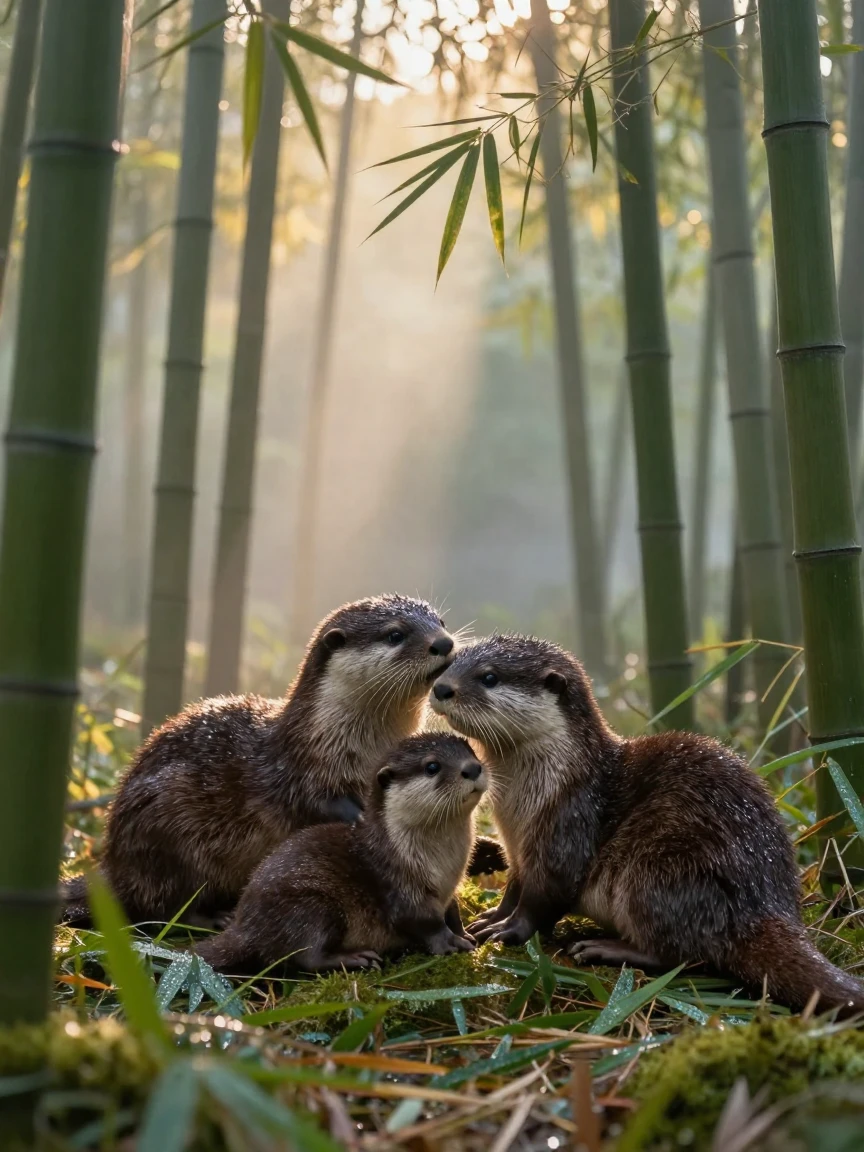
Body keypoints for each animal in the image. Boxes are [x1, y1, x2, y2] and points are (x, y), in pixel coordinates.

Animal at [61, 595, 455, 926]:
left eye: (440, 621)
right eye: (395, 634)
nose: (444, 643)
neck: (365, 749)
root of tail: (112, 860)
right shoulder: (297, 767)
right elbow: (309, 802)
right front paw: (357, 817)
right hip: (162, 823)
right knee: (158, 906)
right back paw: (210, 918)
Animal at [196, 734, 485, 973]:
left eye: (470, 749)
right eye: (432, 766)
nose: (473, 768)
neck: (443, 866)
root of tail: (244, 926)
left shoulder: (451, 888)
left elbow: (452, 911)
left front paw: (465, 933)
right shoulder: (397, 882)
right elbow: (422, 921)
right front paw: (450, 943)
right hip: (312, 908)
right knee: (306, 956)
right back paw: (356, 959)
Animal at [429, 634, 864, 1015]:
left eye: (489, 677)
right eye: (453, 663)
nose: (441, 688)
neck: (529, 798)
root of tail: (764, 904)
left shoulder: (567, 821)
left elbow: (545, 896)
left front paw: (509, 931)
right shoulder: (516, 846)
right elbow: (514, 888)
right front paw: (491, 917)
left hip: (661, 870)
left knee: (680, 954)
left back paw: (607, 948)